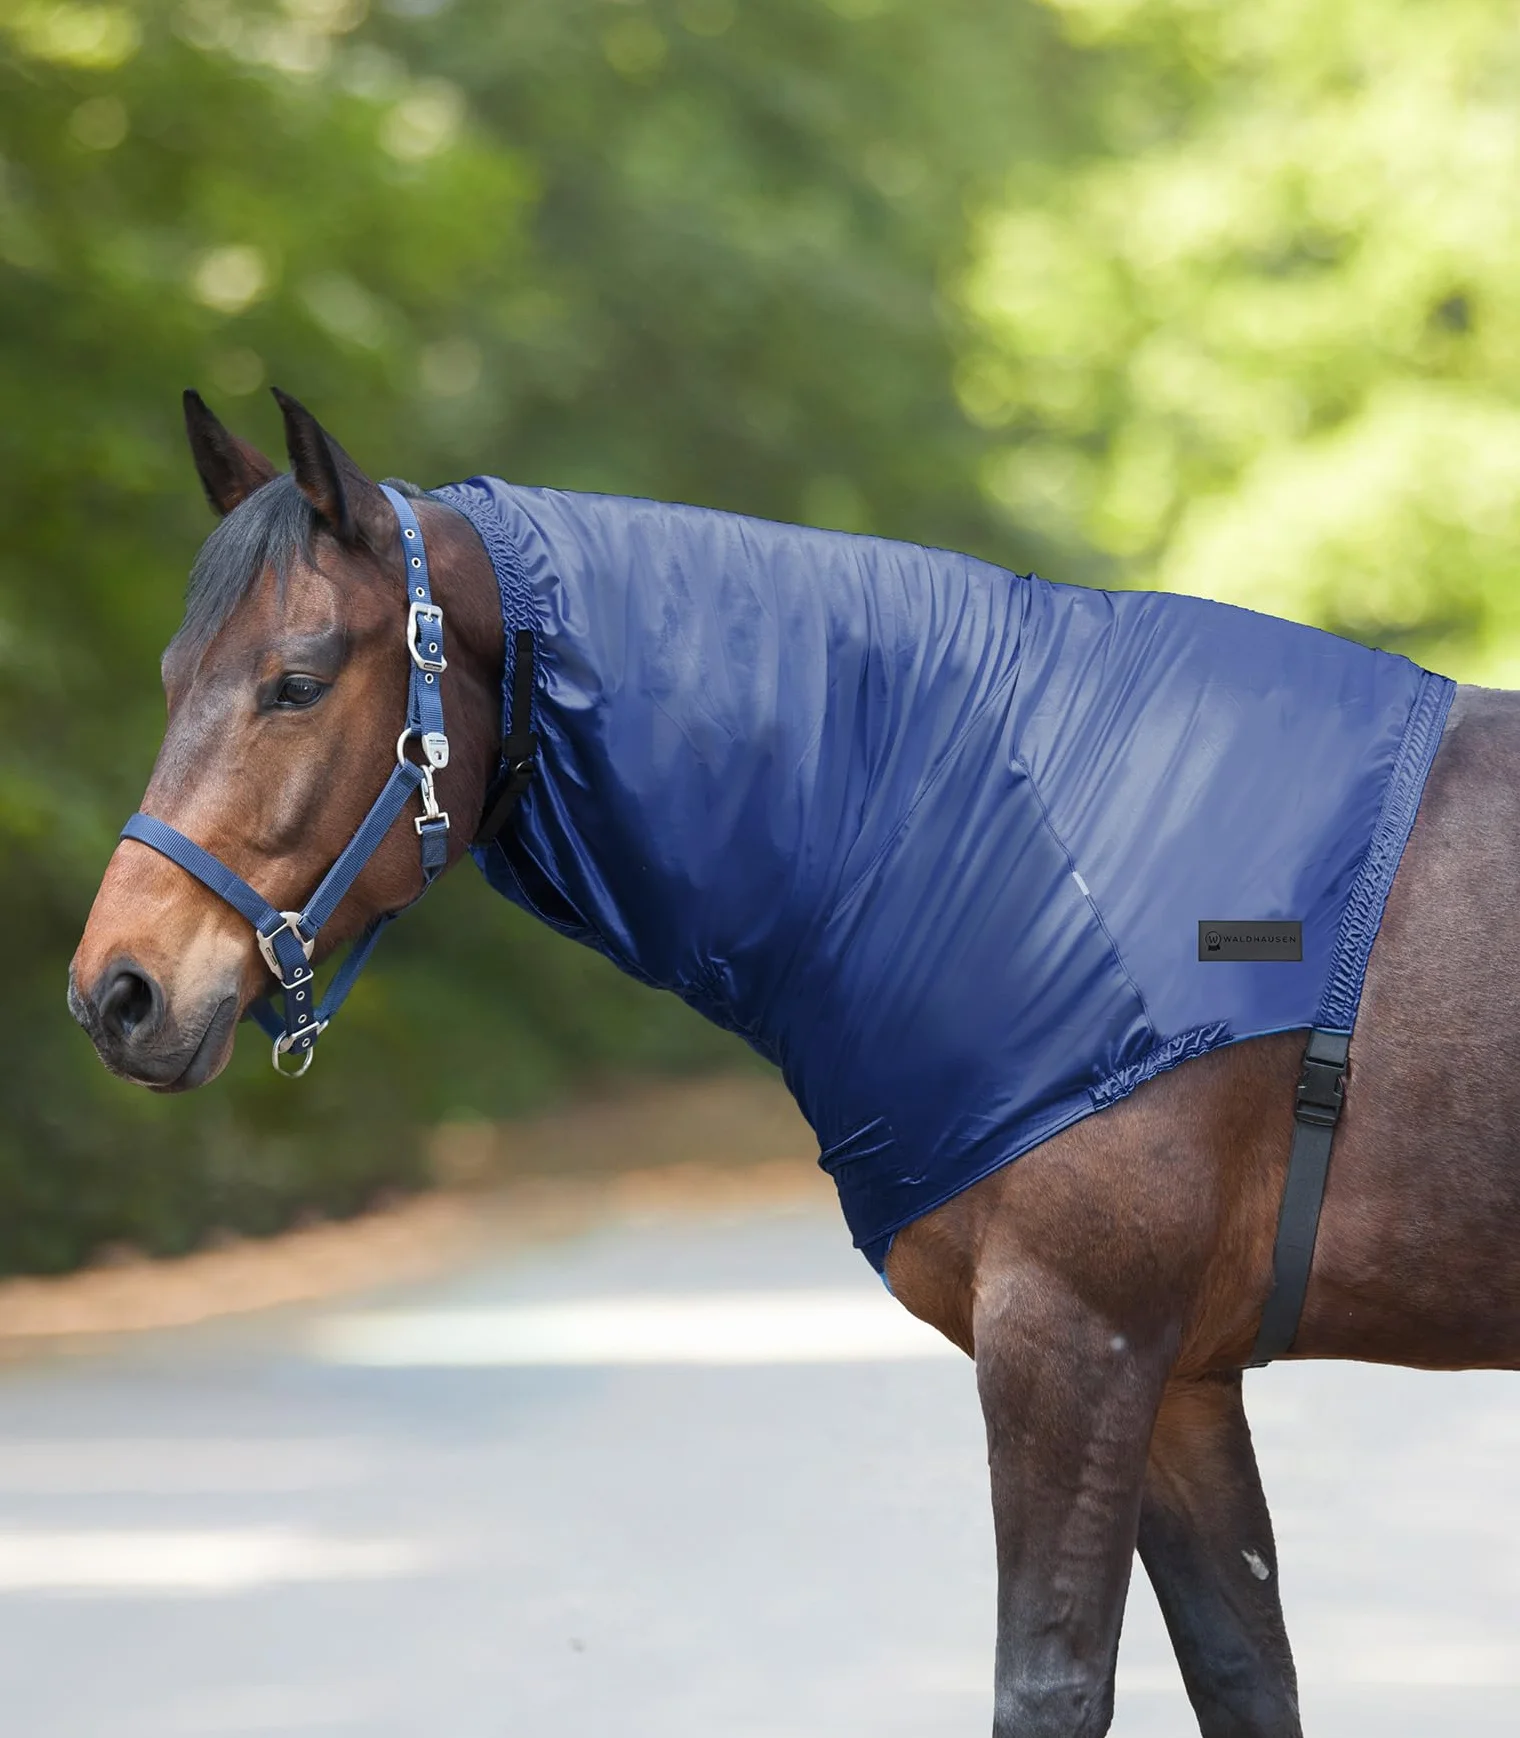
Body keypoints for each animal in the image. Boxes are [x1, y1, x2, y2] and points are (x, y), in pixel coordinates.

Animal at [69, 390, 1520, 1738]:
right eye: (169, 674)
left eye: (298, 680)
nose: (118, 991)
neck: (1006, 819)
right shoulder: (1181, 1380)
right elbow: (1244, 1673)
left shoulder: (1076, 1342)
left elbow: (1049, 1684)